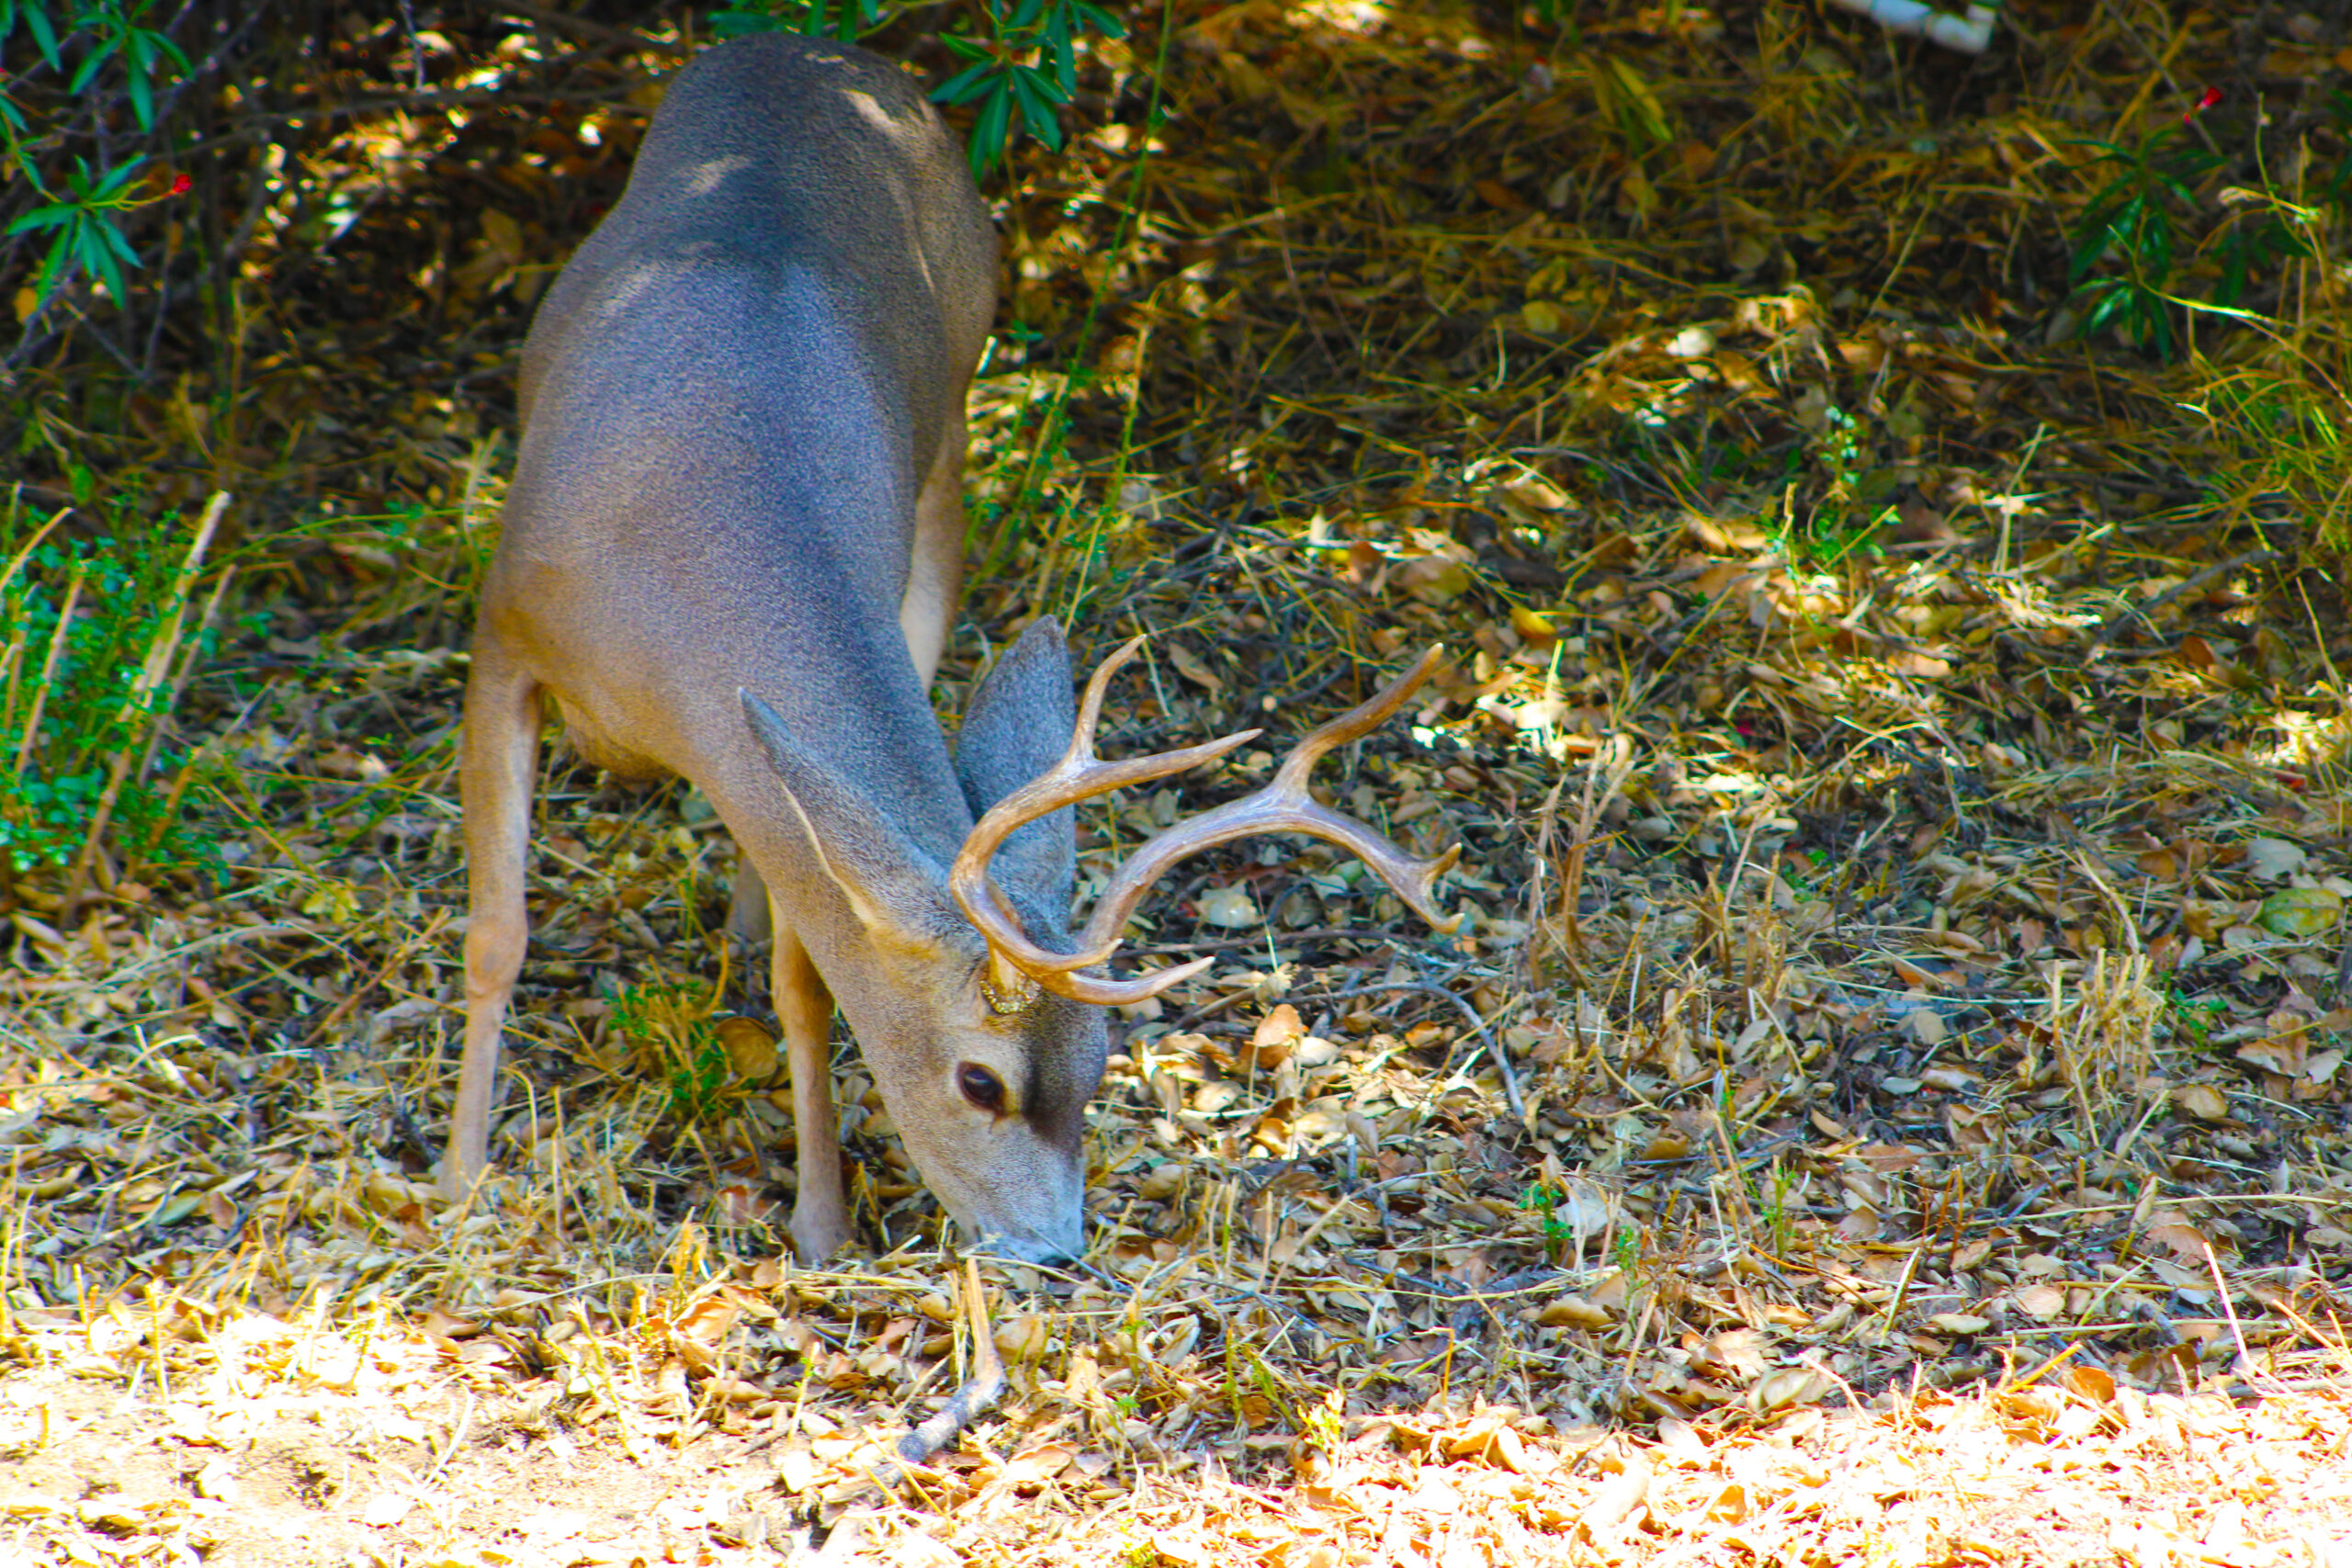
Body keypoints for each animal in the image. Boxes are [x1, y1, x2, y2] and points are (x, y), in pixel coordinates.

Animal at [448, 33, 1458, 1259]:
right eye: (982, 1082)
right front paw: (455, 1182)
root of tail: (820, 49)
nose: (1057, 1247)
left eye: (1100, 1064)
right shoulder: (506, 634)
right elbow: (497, 933)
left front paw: (819, 1223)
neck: (673, 594)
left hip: (951, 438)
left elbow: (807, 983)